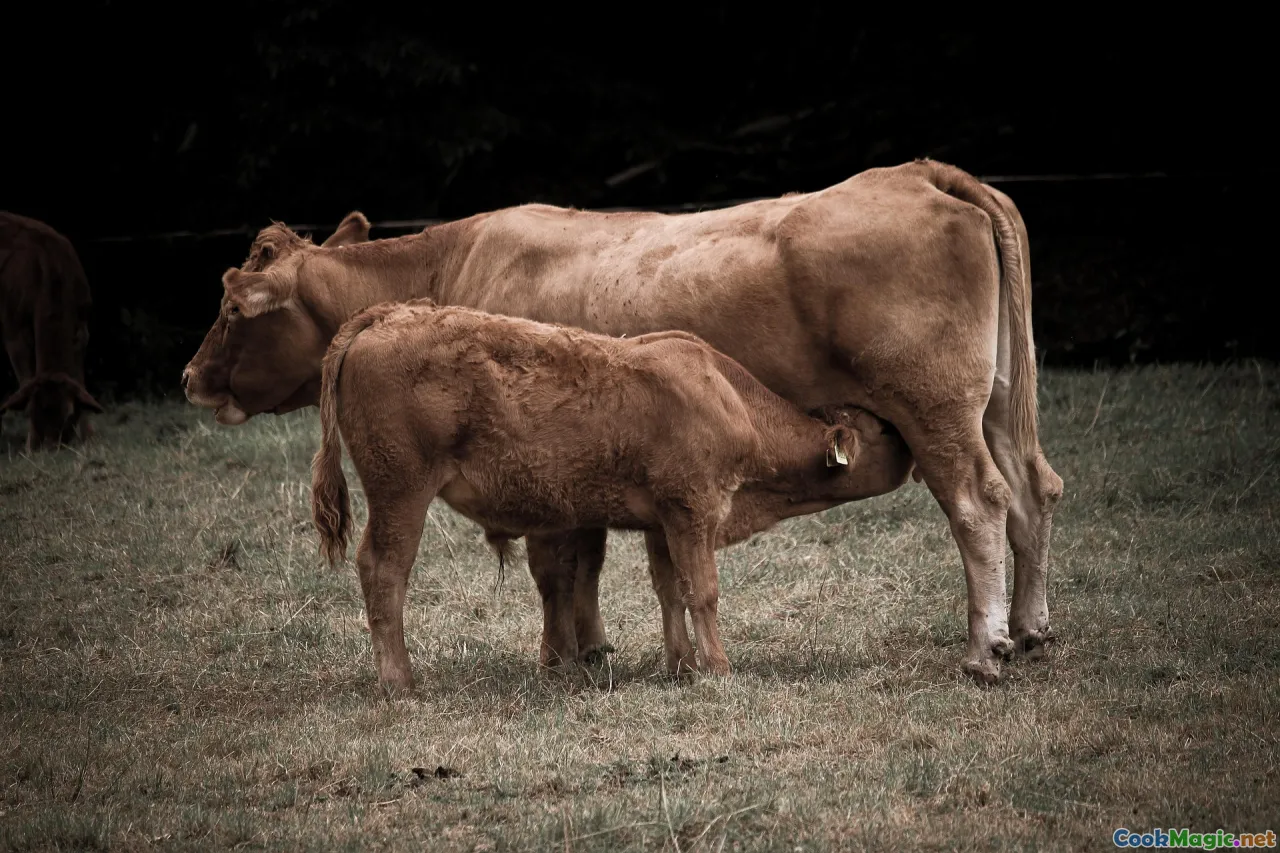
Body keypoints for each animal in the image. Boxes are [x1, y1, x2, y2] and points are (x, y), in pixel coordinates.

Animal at [1, 212, 104, 451]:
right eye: (31, 413)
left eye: (68, 415)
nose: (50, 449)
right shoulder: (13, 330)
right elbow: (25, 380)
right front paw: (30, 447)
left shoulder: (82, 329)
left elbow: (79, 380)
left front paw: (89, 438)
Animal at [306, 297, 915, 694]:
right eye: (881, 431)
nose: (908, 443)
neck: (728, 399)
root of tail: (388, 315)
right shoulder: (694, 510)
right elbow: (703, 591)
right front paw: (718, 669)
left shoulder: (663, 523)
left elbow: (671, 591)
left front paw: (681, 666)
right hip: (400, 494)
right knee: (384, 569)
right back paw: (400, 682)